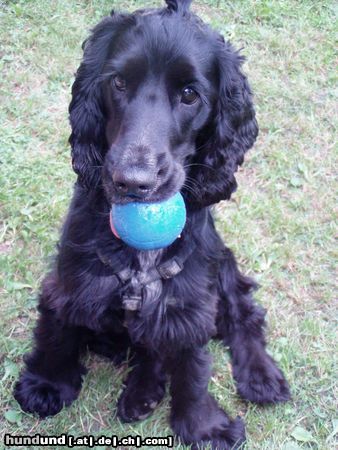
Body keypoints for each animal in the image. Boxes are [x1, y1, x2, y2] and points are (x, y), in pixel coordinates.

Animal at [14, 1, 290, 448]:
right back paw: (141, 394)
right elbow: (58, 328)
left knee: (244, 315)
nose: (133, 182)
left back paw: (261, 376)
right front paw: (47, 384)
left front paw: (202, 425)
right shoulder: (73, 281)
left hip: (223, 263)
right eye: (118, 83)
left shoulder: (189, 302)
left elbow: (193, 365)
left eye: (190, 95)